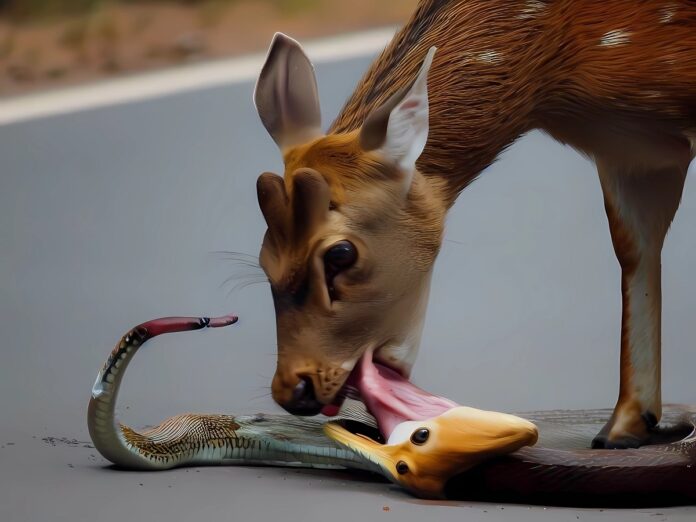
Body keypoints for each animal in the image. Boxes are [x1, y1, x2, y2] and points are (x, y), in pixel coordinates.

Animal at [251, 0, 696, 451]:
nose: (293, 390)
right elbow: (634, 249)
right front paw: (624, 426)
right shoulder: (631, 153)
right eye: (263, 258)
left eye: (341, 253)